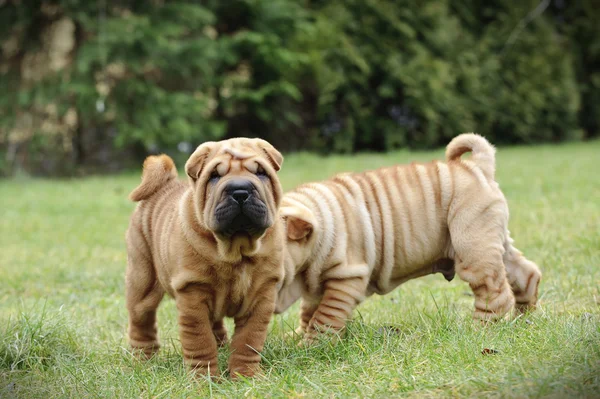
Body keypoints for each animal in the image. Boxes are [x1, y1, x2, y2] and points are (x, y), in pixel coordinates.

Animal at [125, 138, 284, 378]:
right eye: (214, 176)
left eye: (261, 172)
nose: (240, 190)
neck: (236, 249)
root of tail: (165, 184)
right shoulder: (193, 294)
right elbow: (200, 341)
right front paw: (203, 379)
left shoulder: (261, 295)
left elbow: (249, 340)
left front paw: (246, 376)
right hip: (142, 279)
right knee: (141, 321)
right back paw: (143, 362)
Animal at [276, 133, 544, 342]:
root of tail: (477, 166)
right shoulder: (315, 286)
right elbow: (308, 312)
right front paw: (296, 336)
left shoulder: (347, 277)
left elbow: (325, 316)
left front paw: (311, 346)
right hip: (494, 239)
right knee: (525, 273)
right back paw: (525, 318)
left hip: (473, 246)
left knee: (493, 294)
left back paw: (478, 330)